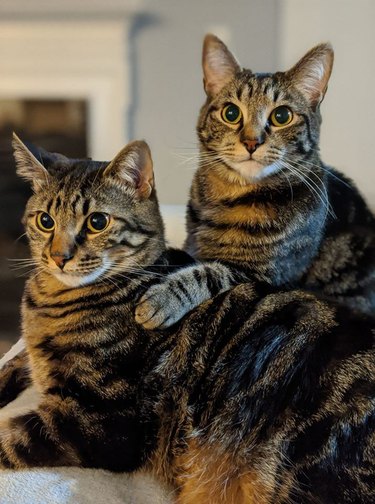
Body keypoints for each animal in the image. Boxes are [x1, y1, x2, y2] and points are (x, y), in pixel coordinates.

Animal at [0, 135, 375, 504]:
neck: (51, 301)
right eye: (45, 221)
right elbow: (16, 362)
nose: (58, 257)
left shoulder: (102, 422)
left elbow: (10, 437)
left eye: (97, 222)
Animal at [134, 33, 374, 328]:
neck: (231, 196)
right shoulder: (194, 243)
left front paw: (163, 299)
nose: (251, 142)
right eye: (231, 113)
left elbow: (207, 273)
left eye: (281, 116)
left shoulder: (261, 274)